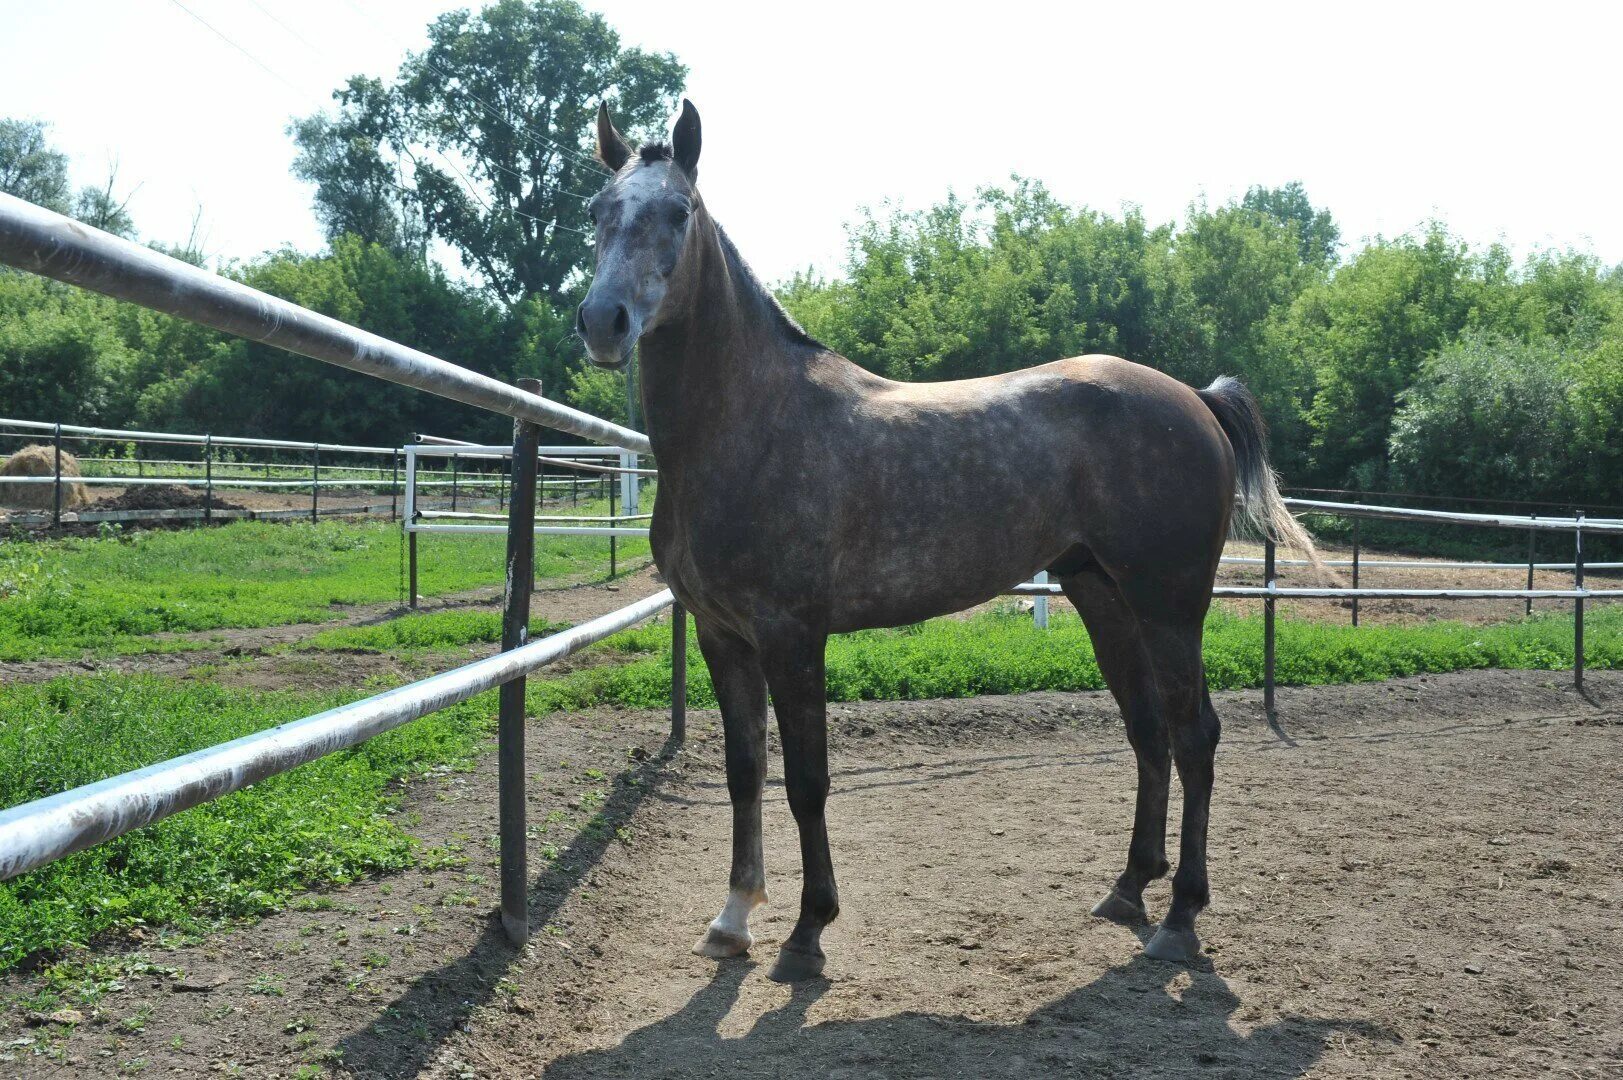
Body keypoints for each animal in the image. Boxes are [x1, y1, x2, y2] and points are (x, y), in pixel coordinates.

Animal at [577, 103, 1311, 987]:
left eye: (679, 212)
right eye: (597, 210)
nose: (602, 322)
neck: (749, 425)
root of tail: (1196, 400)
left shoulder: (792, 636)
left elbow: (808, 782)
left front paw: (806, 932)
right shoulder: (724, 636)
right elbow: (744, 770)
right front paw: (731, 921)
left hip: (1168, 606)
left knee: (1194, 735)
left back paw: (1178, 920)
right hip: (1102, 596)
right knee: (1148, 732)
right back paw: (1127, 890)